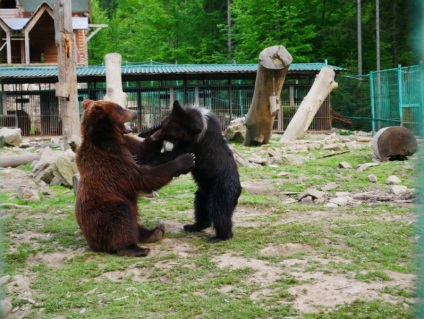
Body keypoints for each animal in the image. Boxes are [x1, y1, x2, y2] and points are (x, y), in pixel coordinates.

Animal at [75, 100, 195, 258]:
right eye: (119, 108)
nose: (136, 112)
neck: (108, 137)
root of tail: (91, 242)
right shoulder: (112, 159)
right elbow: (141, 177)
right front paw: (186, 159)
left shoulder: (126, 143)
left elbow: (144, 149)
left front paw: (156, 126)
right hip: (101, 213)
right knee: (121, 216)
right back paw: (134, 248)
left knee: (134, 220)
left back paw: (155, 231)